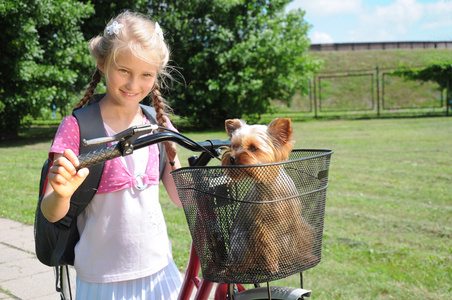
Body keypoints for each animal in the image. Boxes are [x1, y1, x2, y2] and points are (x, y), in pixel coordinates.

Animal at [221, 118, 316, 276]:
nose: (232, 158)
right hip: (241, 239)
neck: (271, 185)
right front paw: (271, 267)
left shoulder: (295, 221)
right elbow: (267, 247)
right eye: (234, 146)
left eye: (253, 148)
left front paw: (304, 257)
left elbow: (298, 241)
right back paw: (239, 267)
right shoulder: (263, 227)